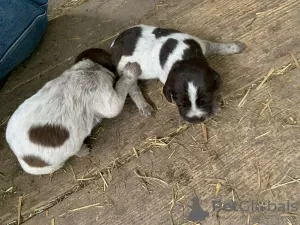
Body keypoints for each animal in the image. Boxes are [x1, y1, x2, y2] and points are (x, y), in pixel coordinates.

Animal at [4, 48, 141, 176]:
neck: (89, 69)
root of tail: (19, 156)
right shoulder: (108, 98)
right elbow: (120, 90)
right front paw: (131, 70)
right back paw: (83, 150)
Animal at [110, 24, 244, 122]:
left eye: (205, 100)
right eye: (180, 103)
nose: (195, 120)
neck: (184, 58)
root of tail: (113, 45)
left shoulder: (200, 44)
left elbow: (213, 45)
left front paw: (233, 47)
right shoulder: (165, 77)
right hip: (127, 68)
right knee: (132, 86)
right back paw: (143, 105)